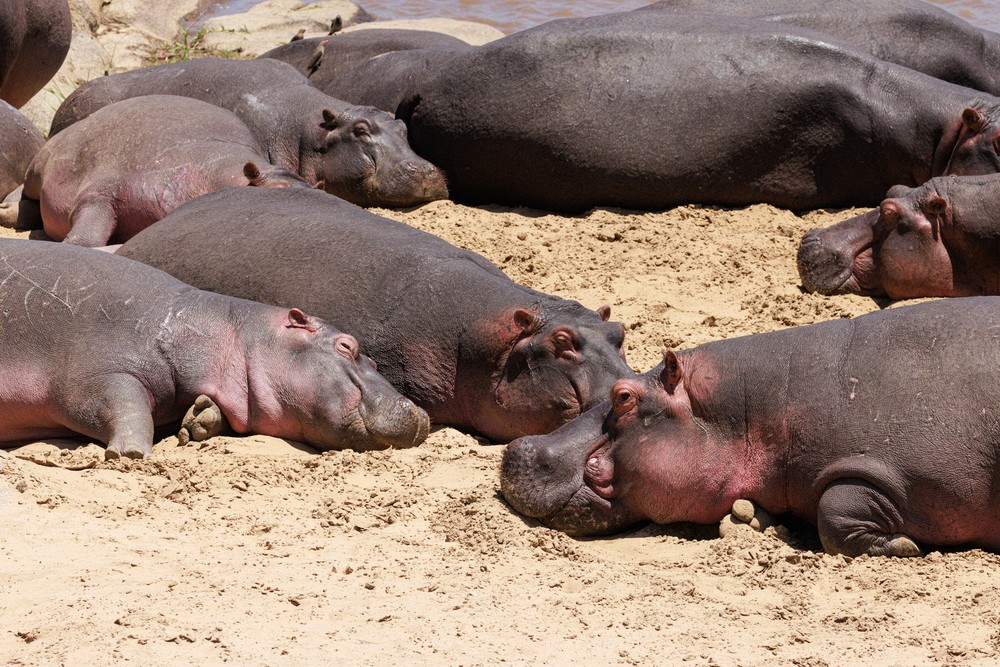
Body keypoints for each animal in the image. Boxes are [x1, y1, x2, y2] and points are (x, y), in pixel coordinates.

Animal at [0, 238, 429, 459]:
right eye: (346, 346)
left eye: (375, 359)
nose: (423, 414)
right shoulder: (96, 375)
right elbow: (126, 406)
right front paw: (131, 454)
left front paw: (201, 419)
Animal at [501, 297, 1000, 556]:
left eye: (623, 396)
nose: (519, 448)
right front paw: (753, 518)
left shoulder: (897, 468)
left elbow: (835, 510)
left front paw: (907, 545)